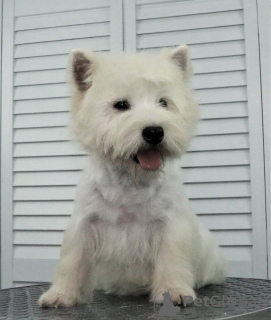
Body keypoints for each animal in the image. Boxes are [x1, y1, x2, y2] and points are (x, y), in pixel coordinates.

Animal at [38, 45, 227, 308]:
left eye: (163, 102)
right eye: (121, 105)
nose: (155, 131)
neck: (131, 181)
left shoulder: (169, 226)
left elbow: (171, 260)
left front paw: (174, 292)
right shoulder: (84, 224)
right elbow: (73, 261)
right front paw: (61, 294)